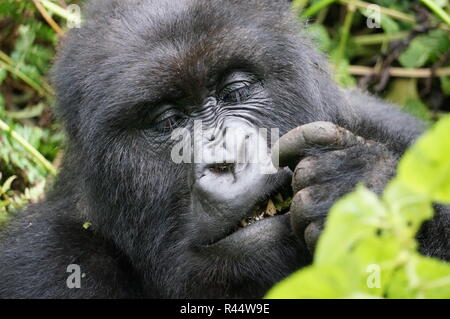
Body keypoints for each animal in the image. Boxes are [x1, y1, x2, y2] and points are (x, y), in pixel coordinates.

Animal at [0, 0, 448, 300]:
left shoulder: (389, 126)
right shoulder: (50, 260)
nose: (228, 162)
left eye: (235, 91)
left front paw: (355, 186)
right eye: (168, 121)